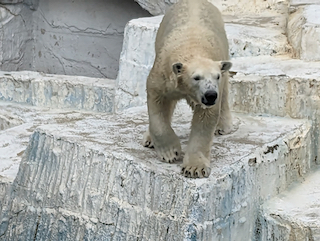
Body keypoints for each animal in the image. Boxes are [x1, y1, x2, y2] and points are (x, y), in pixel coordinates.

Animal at [142, 0, 232, 178]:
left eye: (216, 76)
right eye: (196, 77)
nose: (210, 95)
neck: (192, 48)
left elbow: (204, 119)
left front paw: (194, 168)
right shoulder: (162, 75)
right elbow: (158, 103)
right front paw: (170, 153)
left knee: (224, 93)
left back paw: (222, 127)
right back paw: (149, 139)